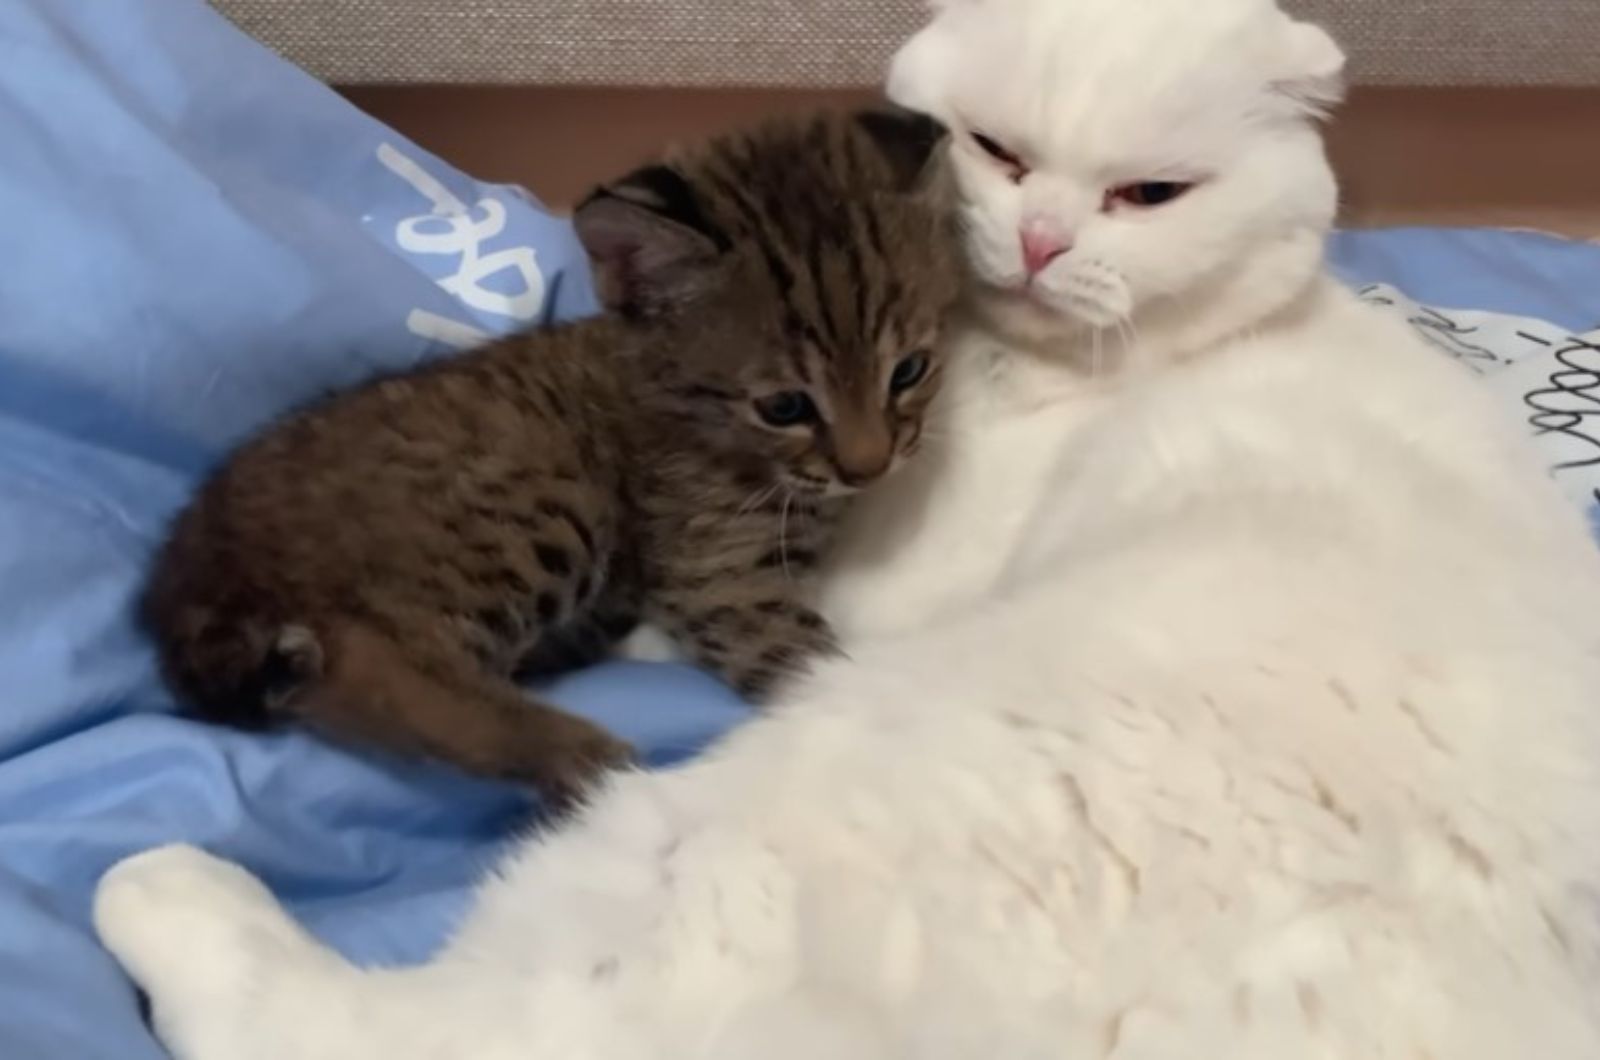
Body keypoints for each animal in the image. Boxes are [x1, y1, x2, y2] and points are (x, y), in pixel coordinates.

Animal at [144, 109, 953, 807]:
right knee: (372, 661)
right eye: (784, 407)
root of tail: (192, 557)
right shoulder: (720, 577)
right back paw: (580, 755)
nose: (871, 468)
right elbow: (817, 665)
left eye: (909, 371)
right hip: (547, 500)